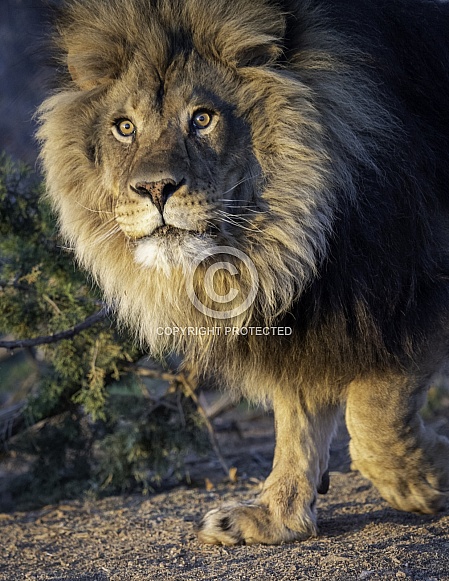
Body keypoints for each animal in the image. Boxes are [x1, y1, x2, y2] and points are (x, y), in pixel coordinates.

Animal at [37, 0, 448, 544]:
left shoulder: (409, 282)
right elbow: (298, 415)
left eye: (203, 118)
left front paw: (425, 479)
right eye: (124, 127)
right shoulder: (316, 308)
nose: (154, 189)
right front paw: (275, 516)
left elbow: (373, 415)